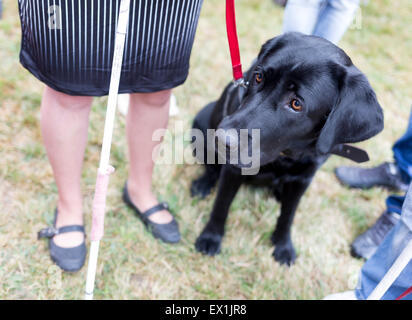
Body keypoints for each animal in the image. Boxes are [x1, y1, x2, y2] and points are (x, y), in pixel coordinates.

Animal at [190, 33, 384, 268]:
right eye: (258, 77)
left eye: (296, 104)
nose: (221, 139)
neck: (285, 155)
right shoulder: (233, 169)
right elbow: (221, 205)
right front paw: (211, 237)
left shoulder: (303, 179)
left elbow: (288, 216)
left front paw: (282, 246)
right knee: (210, 168)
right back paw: (202, 184)